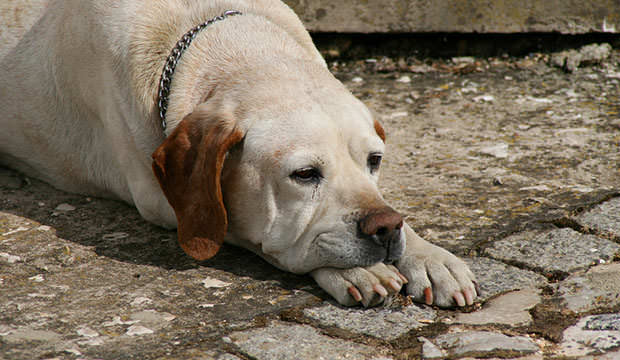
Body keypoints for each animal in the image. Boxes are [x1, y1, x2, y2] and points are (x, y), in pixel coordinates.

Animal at [0, 0, 474, 306]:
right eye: (305, 174)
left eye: (374, 161)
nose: (385, 229)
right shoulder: (164, 204)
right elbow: (253, 234)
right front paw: (358, 269)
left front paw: (429, 256)